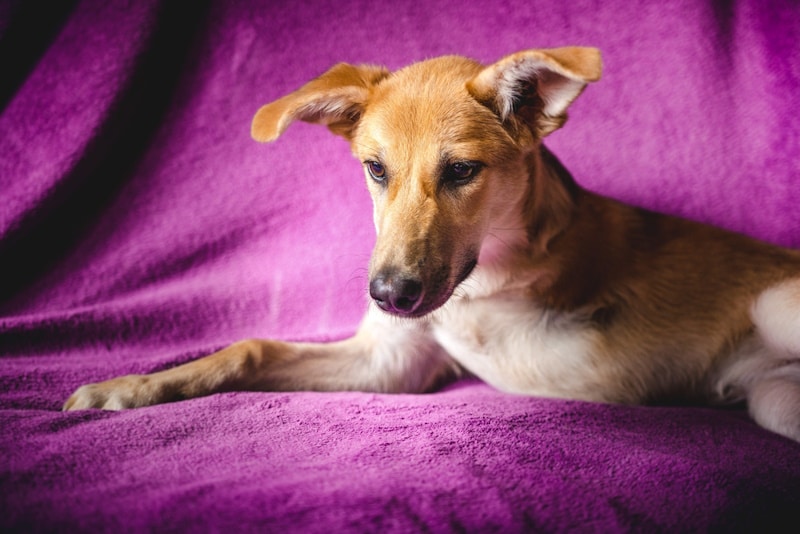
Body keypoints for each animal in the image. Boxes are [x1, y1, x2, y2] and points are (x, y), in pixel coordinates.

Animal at [62, 48, 800, 444]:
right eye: (374, 168)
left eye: (462, 171)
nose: (389, 294)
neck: (484, 276)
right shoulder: (389, 362)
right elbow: (250, 348)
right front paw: (128, 388)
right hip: (773, 400)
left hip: (776, 308)